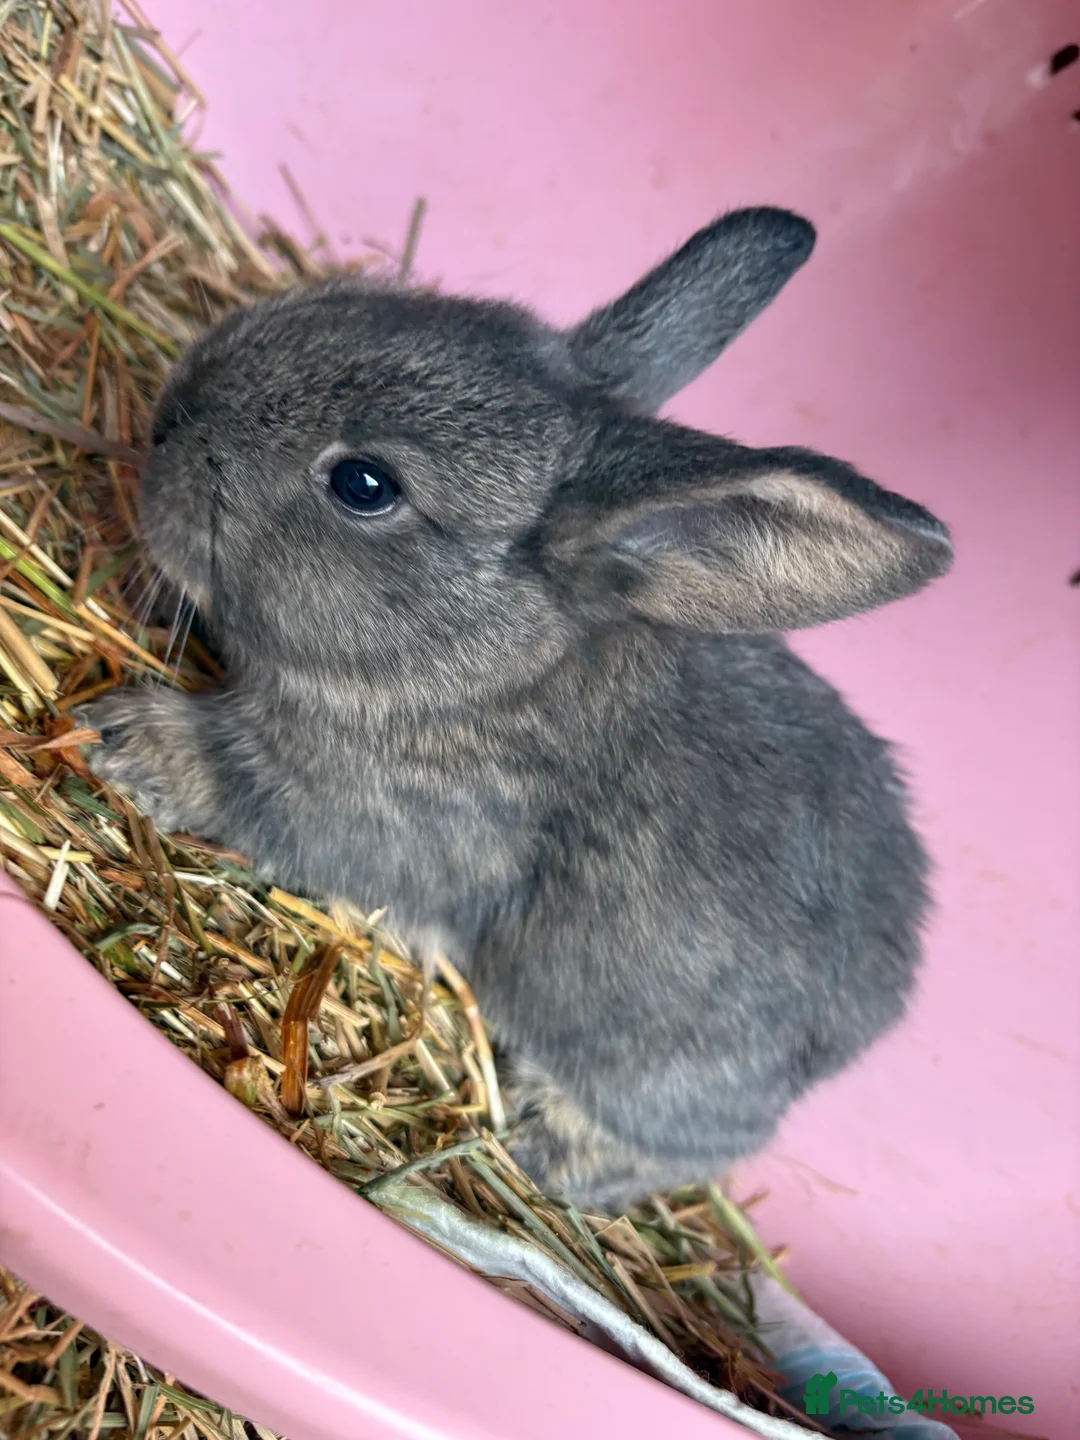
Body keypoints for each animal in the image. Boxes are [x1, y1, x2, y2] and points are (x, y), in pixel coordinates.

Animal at [84, 207, 952, 1212]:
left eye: (365, 485)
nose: (168, 418)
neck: (489, 671)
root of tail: (871, 1019)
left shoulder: (377, 815)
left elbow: (245, 781)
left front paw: (124, 739)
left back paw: (556, 1148)